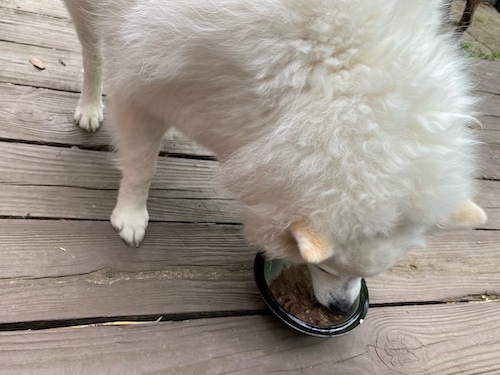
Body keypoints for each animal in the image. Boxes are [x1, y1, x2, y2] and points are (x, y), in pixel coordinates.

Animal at [63, 0, 488, 316]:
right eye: (325, 266)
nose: (341, 309)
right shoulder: (143, 81)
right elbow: (141, 165)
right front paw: (131, 215)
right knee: (92, 52)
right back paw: (89, 106)